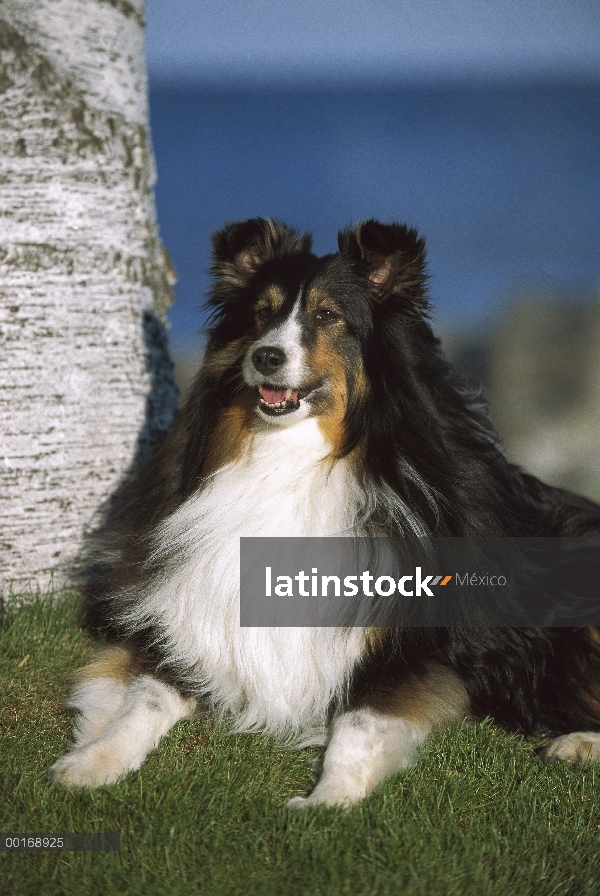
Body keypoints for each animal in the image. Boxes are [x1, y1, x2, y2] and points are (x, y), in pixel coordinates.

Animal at [49, 217, 600, 804]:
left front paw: (324, 803)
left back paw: (576, 743)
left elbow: (359, 725)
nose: (266, 356)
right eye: (262, 313)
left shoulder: (412, 652)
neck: (293, 461)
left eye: (327, 315)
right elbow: (144, 697)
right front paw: (90, 762)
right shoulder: (192, 625)